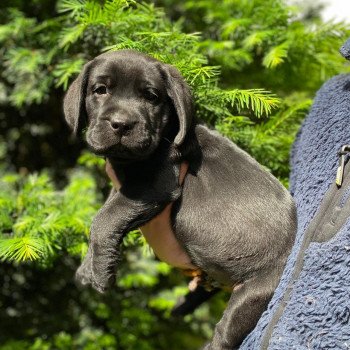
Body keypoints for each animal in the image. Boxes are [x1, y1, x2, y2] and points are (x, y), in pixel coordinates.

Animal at [63, 50, 296, 348]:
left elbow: (104, 220)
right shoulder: (124, 188)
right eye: (100, 90)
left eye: (151, 97)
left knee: (225, 334)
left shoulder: (155, 185)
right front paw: (88, 268)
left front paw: (101, 273)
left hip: (254, 293)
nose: (122, 125)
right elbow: (105, 214)